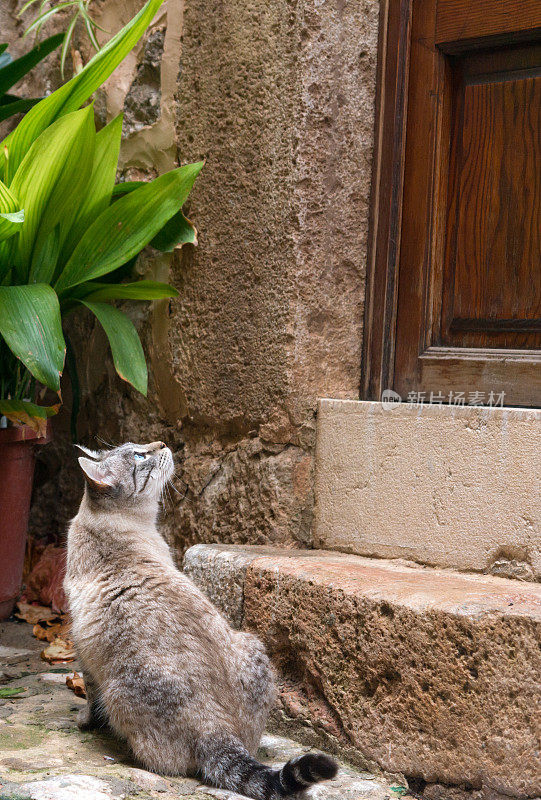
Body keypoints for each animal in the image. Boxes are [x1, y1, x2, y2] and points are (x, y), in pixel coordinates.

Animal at [64, 440, 338, 796]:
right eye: (138, 455)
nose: (162, 443)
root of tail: (217, 729)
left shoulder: (83, 653)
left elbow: (89, 697)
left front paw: (85, 722)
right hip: (251, 643)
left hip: (117, 691)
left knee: (161, 762)